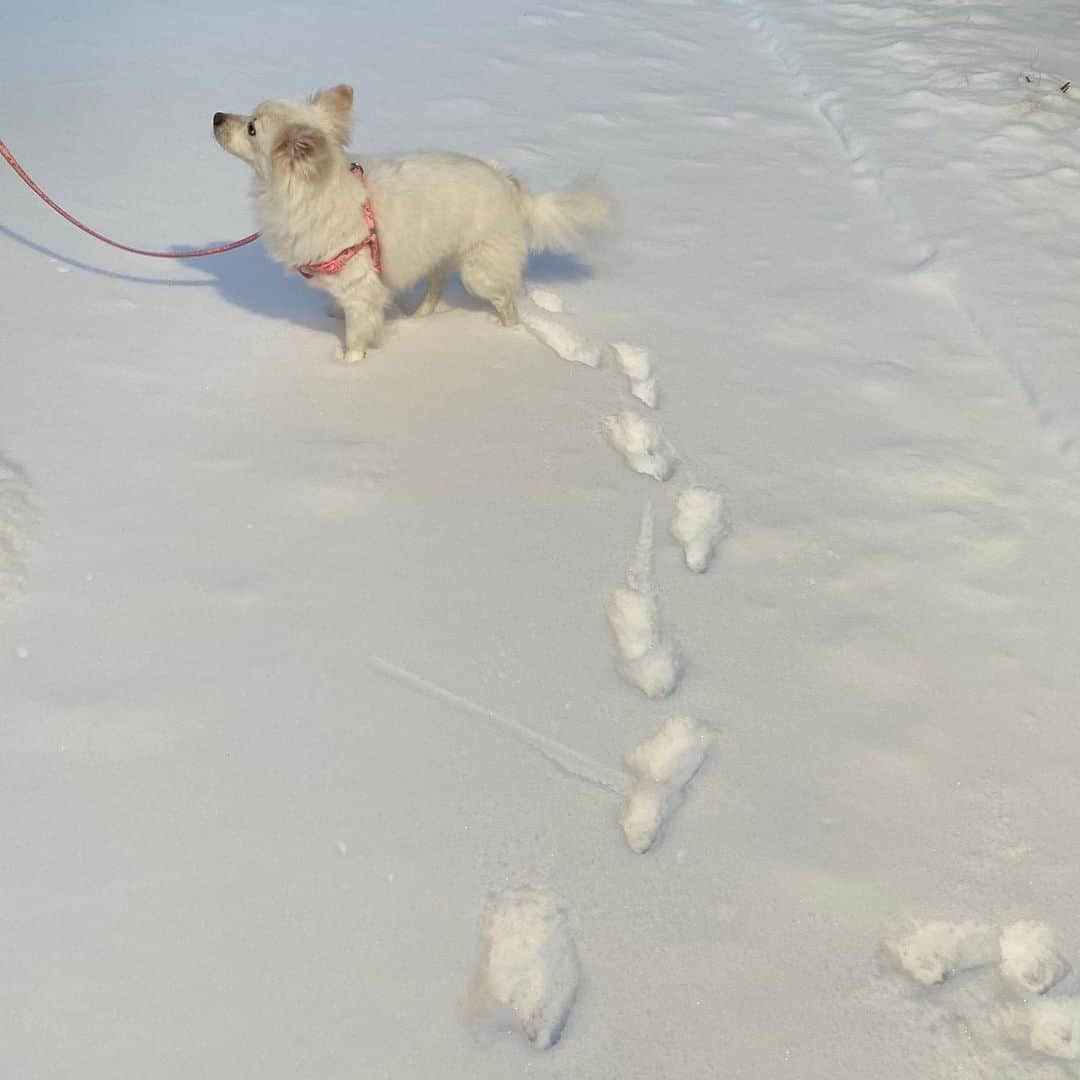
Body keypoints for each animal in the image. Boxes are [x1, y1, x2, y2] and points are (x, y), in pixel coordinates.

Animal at [212, 85, 617, 362]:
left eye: (251, 128)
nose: (216, 116)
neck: (310, 193)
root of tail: (510, 186)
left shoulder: (360, 288)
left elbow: (356, 335)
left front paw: (347, 365)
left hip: (479, 271)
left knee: (506, 301)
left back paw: (507, 334)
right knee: (437, 285)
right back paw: (421, 317)